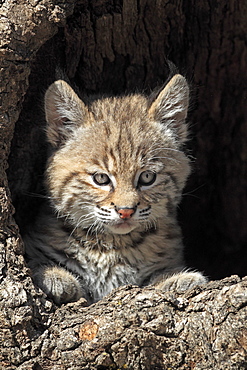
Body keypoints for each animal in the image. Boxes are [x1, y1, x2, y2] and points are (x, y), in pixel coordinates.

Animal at [24, 73, 206, 304]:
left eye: (147, 177)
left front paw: (177, 278)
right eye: (101, 178)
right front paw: (54, 275)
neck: (112, 245)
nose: (126, 211)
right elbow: (36, 262)